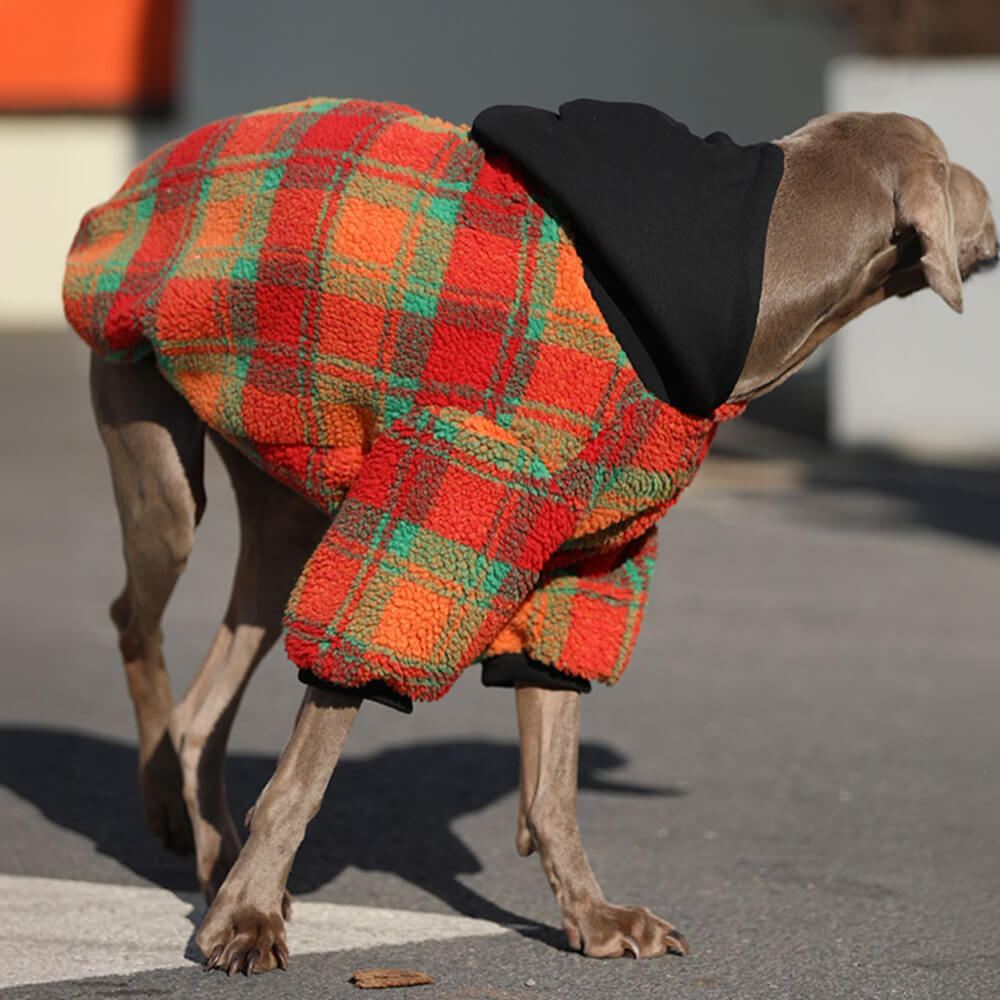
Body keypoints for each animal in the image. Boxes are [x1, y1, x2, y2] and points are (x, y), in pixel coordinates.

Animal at [62, 97, 992, 972]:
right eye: (953, 160)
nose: (994, 206)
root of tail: (132, 184)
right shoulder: (433, 497)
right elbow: (313, 756)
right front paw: (248, 920)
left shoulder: (582, 552)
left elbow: (555, 774)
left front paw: (596, 918)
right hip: (160, 472)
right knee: (131, 619)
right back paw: (174, 818)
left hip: (284, 501)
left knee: (200, 707)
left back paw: (211, 850)